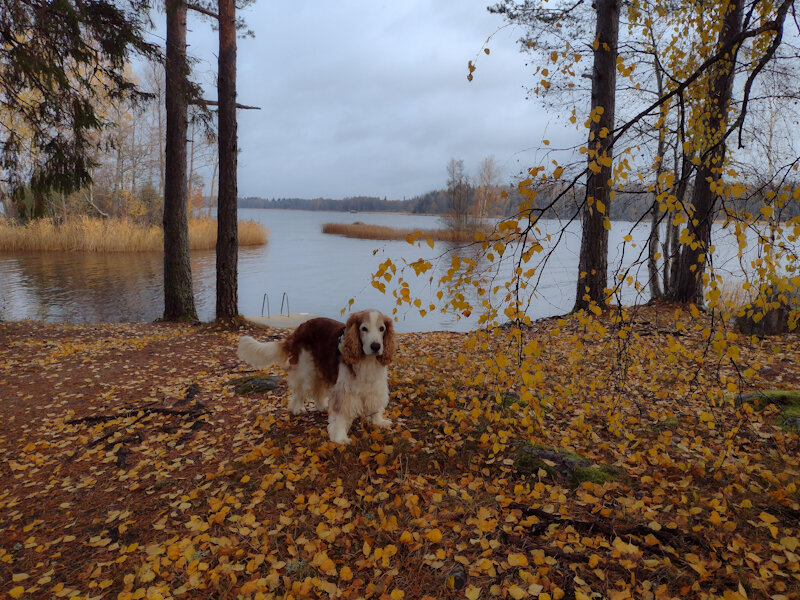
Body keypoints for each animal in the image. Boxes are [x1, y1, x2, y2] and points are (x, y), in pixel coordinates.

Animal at [236, 312, 396, 442]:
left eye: (382, 329)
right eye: (364, 329)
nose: (376, 346)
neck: (366, 360)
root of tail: (299, 329)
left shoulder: (376, 384)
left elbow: (375, 404)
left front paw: (378, 421)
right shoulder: (344, 391)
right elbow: (340, 414)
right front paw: (340, 438)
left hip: (321, 370)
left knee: (318, 391)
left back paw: (322, 406)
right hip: (305, 370)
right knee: (299, 392)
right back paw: (297, 408)